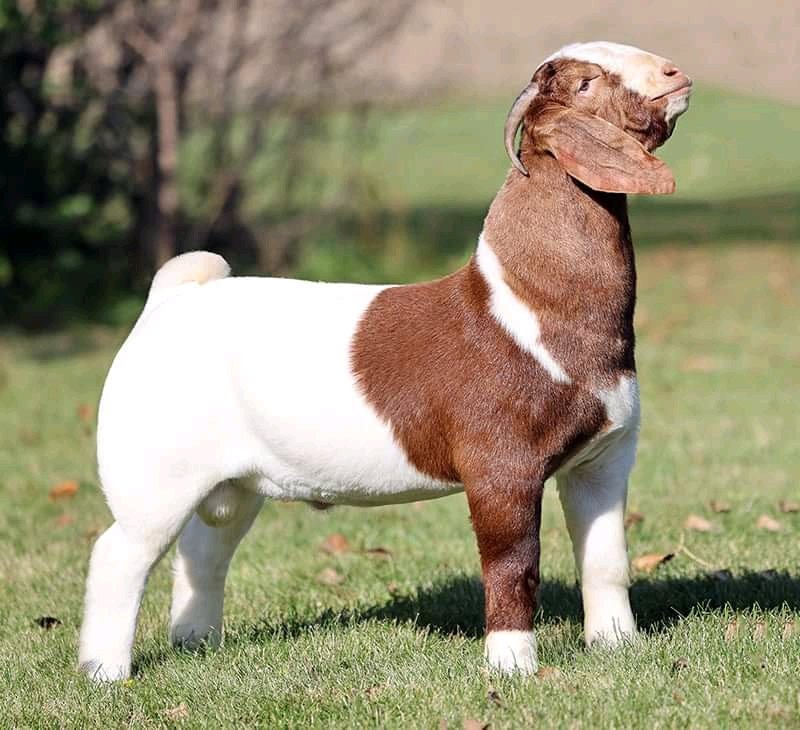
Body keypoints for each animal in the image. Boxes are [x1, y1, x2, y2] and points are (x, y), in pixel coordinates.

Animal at [79, 41, 692, 681]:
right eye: (584, 85)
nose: (674, 73)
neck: (531, 305)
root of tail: (172, 299)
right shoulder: (501, 468)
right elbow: (513, 563)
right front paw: (512, 665)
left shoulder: (603, 461)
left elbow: (606, 559)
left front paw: (617, 647)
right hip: (155, 472)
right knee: (120, 554)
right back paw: (105, 671)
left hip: (234, 477)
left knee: (205, 546)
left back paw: (196, 641)